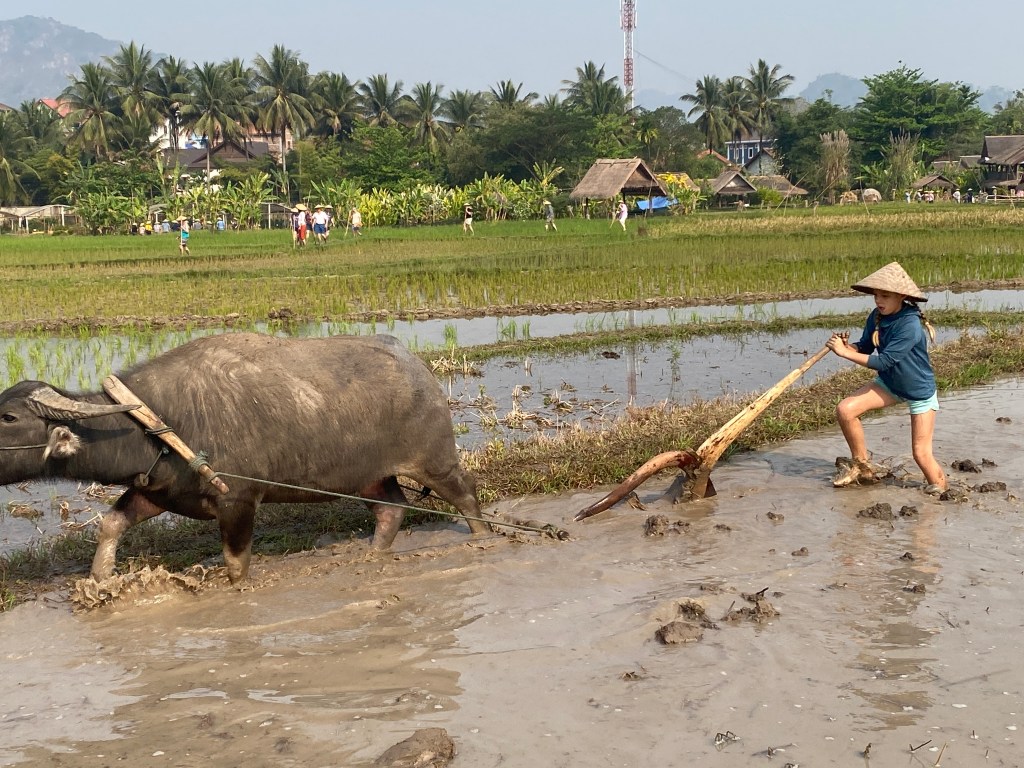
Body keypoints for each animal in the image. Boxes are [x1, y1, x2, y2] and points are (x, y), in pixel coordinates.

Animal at [0, 333, 490, 583]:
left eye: (8, 417)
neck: (158, 424)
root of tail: (420, 369)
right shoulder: (155, 492)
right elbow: (111, 524)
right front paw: (101, 579)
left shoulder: (237, 502)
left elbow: (236, 565)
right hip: (369, 477)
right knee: (391, 509)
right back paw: (373, 555)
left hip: (435, 460)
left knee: (467, 497)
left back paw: (484, 540)